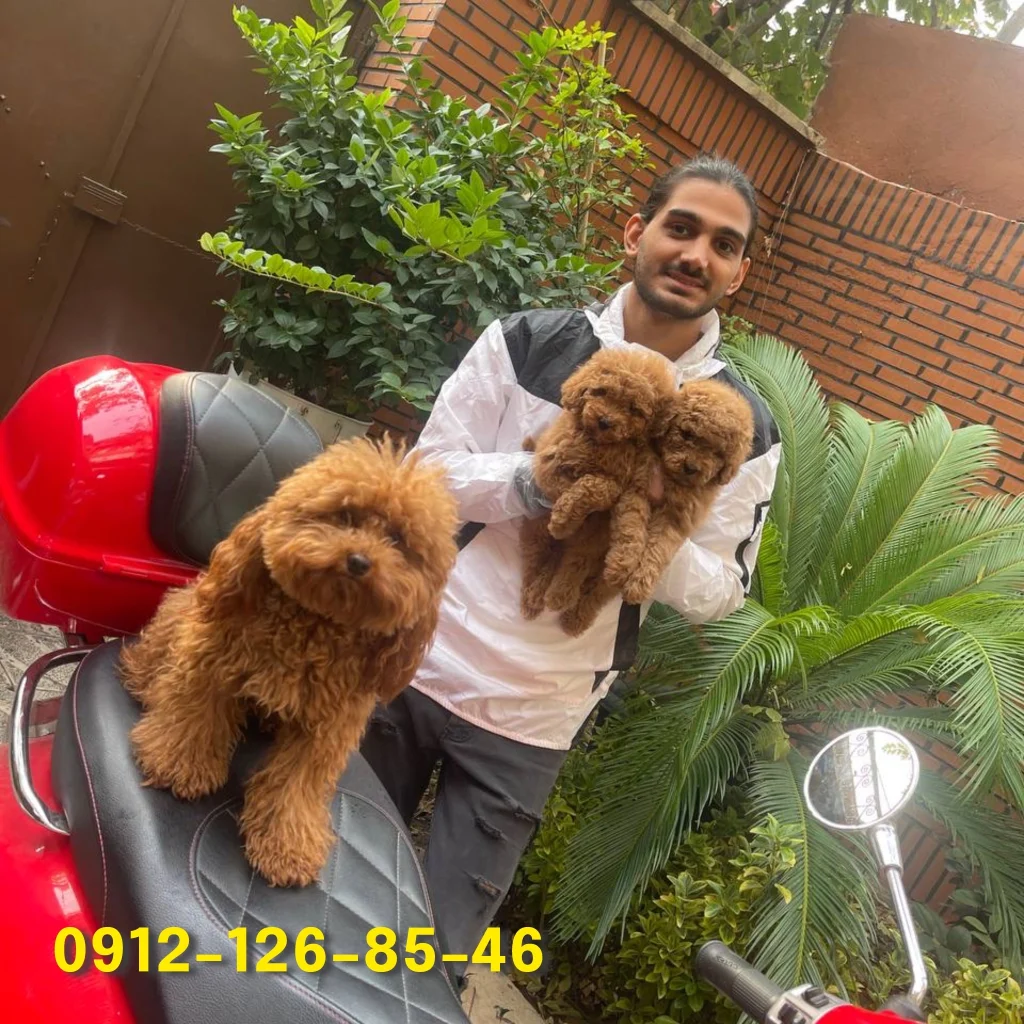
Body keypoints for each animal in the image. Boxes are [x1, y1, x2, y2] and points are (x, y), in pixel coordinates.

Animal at [117, 440, 458, 888]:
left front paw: (285, 847)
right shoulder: (212, 662)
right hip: (186, 613)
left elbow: (294, 786)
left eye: (398, 540)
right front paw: (178, 766)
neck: (313, 625)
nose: (359, 561)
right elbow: (195, 716)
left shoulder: (325, 732)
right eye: (345, 514)